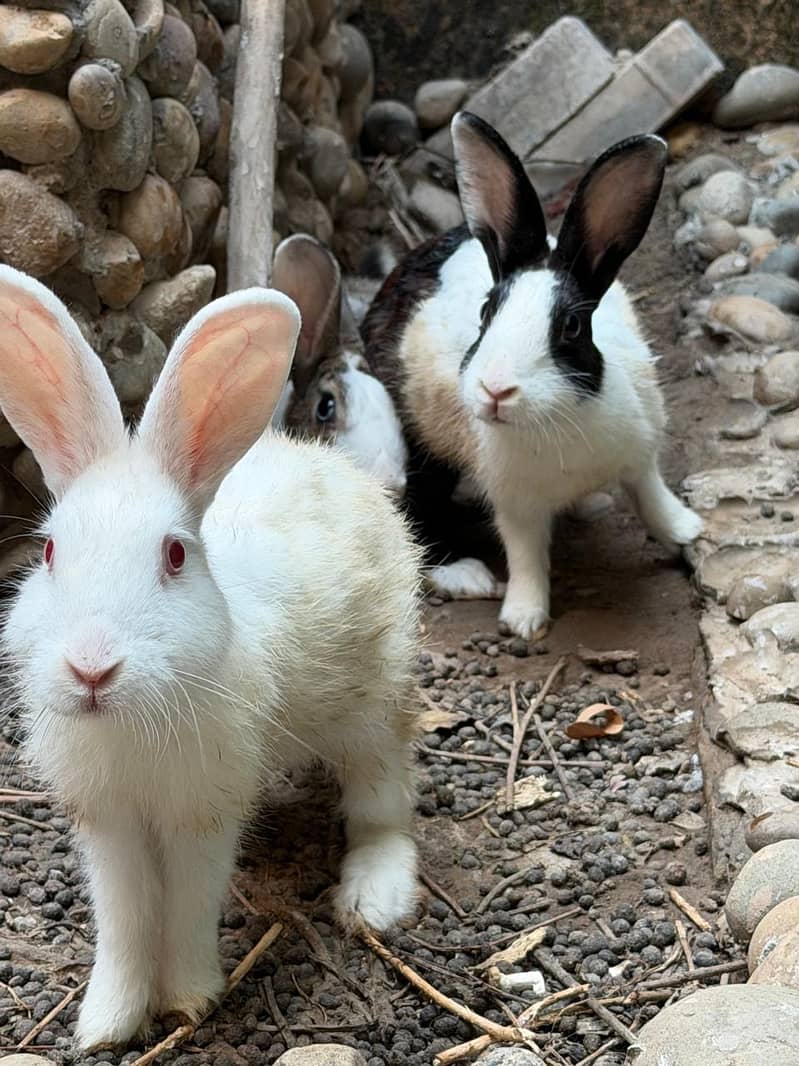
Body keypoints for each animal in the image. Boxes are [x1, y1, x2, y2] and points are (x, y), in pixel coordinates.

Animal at [0, 265, 422, 1050]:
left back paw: (374, 898)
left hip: (376, 708)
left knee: (384, 807)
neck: (131, 722)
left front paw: (189, 1001)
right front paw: (107, 1023)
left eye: (174, 555)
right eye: (48, 552)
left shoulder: (204, 812)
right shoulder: (109, 822)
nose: (92, 669)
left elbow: (190, 905)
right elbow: (125, 918)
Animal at [362, 111, 703, 639]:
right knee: (421, 505)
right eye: (486, 311)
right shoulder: (514, 502)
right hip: (418, 443)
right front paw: (524, 619)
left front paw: (687, 530)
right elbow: (524, 555)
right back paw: (463, 572)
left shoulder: (640, 455)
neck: (557, 425)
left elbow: (651, 497)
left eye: (571, 326)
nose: (496, 390)